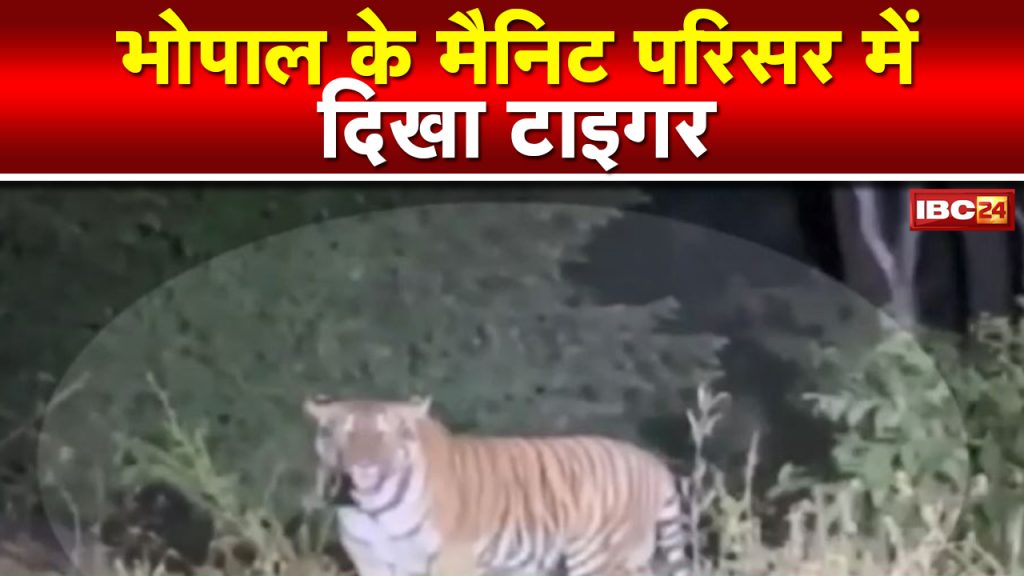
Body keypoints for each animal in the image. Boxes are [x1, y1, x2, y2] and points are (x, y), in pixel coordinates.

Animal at [303, 395, 690, 576]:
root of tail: (654, 463)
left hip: (599, 557)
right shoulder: (371, 560)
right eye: (339, 431)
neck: (373, 509)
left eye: (386, 433)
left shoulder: (451, 559)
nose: (363, 463)